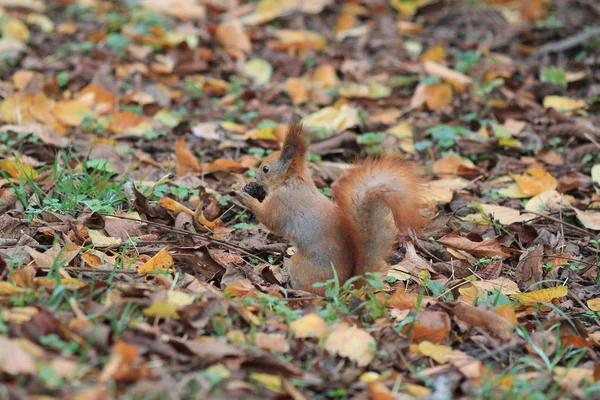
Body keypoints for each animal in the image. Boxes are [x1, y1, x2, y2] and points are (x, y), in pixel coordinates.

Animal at [234, 120, 426, 296]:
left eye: (266, 169)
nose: (255, 177)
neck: (292, 181)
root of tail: (343, 286)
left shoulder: (281, 202)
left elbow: (269, 219)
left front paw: (246, 198)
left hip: (301, 265)